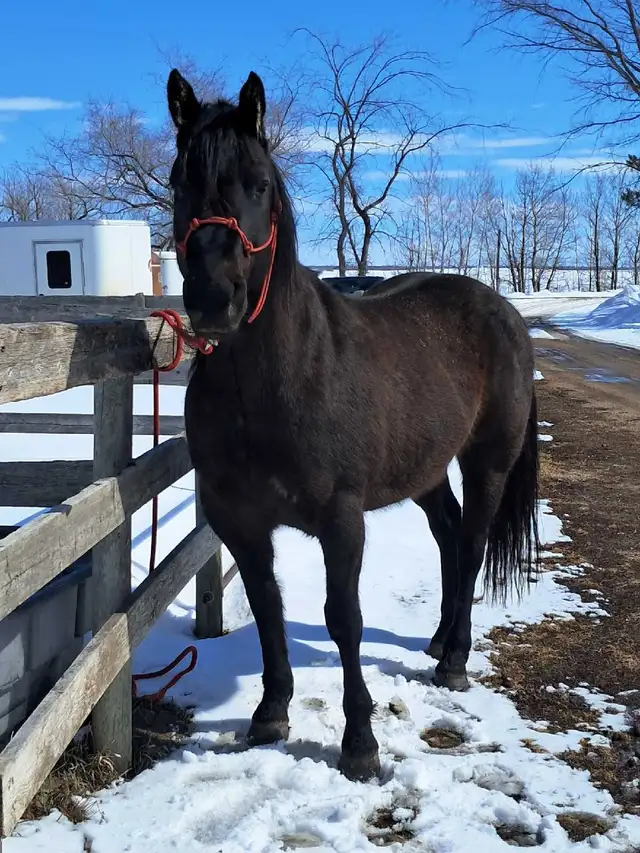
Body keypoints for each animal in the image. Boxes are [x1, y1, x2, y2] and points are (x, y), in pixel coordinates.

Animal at [166, 67, 540, 783]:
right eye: (178, 181)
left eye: (258, 183)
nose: (213, 300)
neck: (275, 384)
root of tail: (503, 311)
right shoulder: (239, 521)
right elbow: (267, 606)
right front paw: (270, 712)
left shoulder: (341, 520)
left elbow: (345, 619)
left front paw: (360, 741)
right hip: (425, 468)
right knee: (449, 535)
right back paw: (437, 640)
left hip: (487, 461)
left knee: (474, 541)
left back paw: (455, 659)